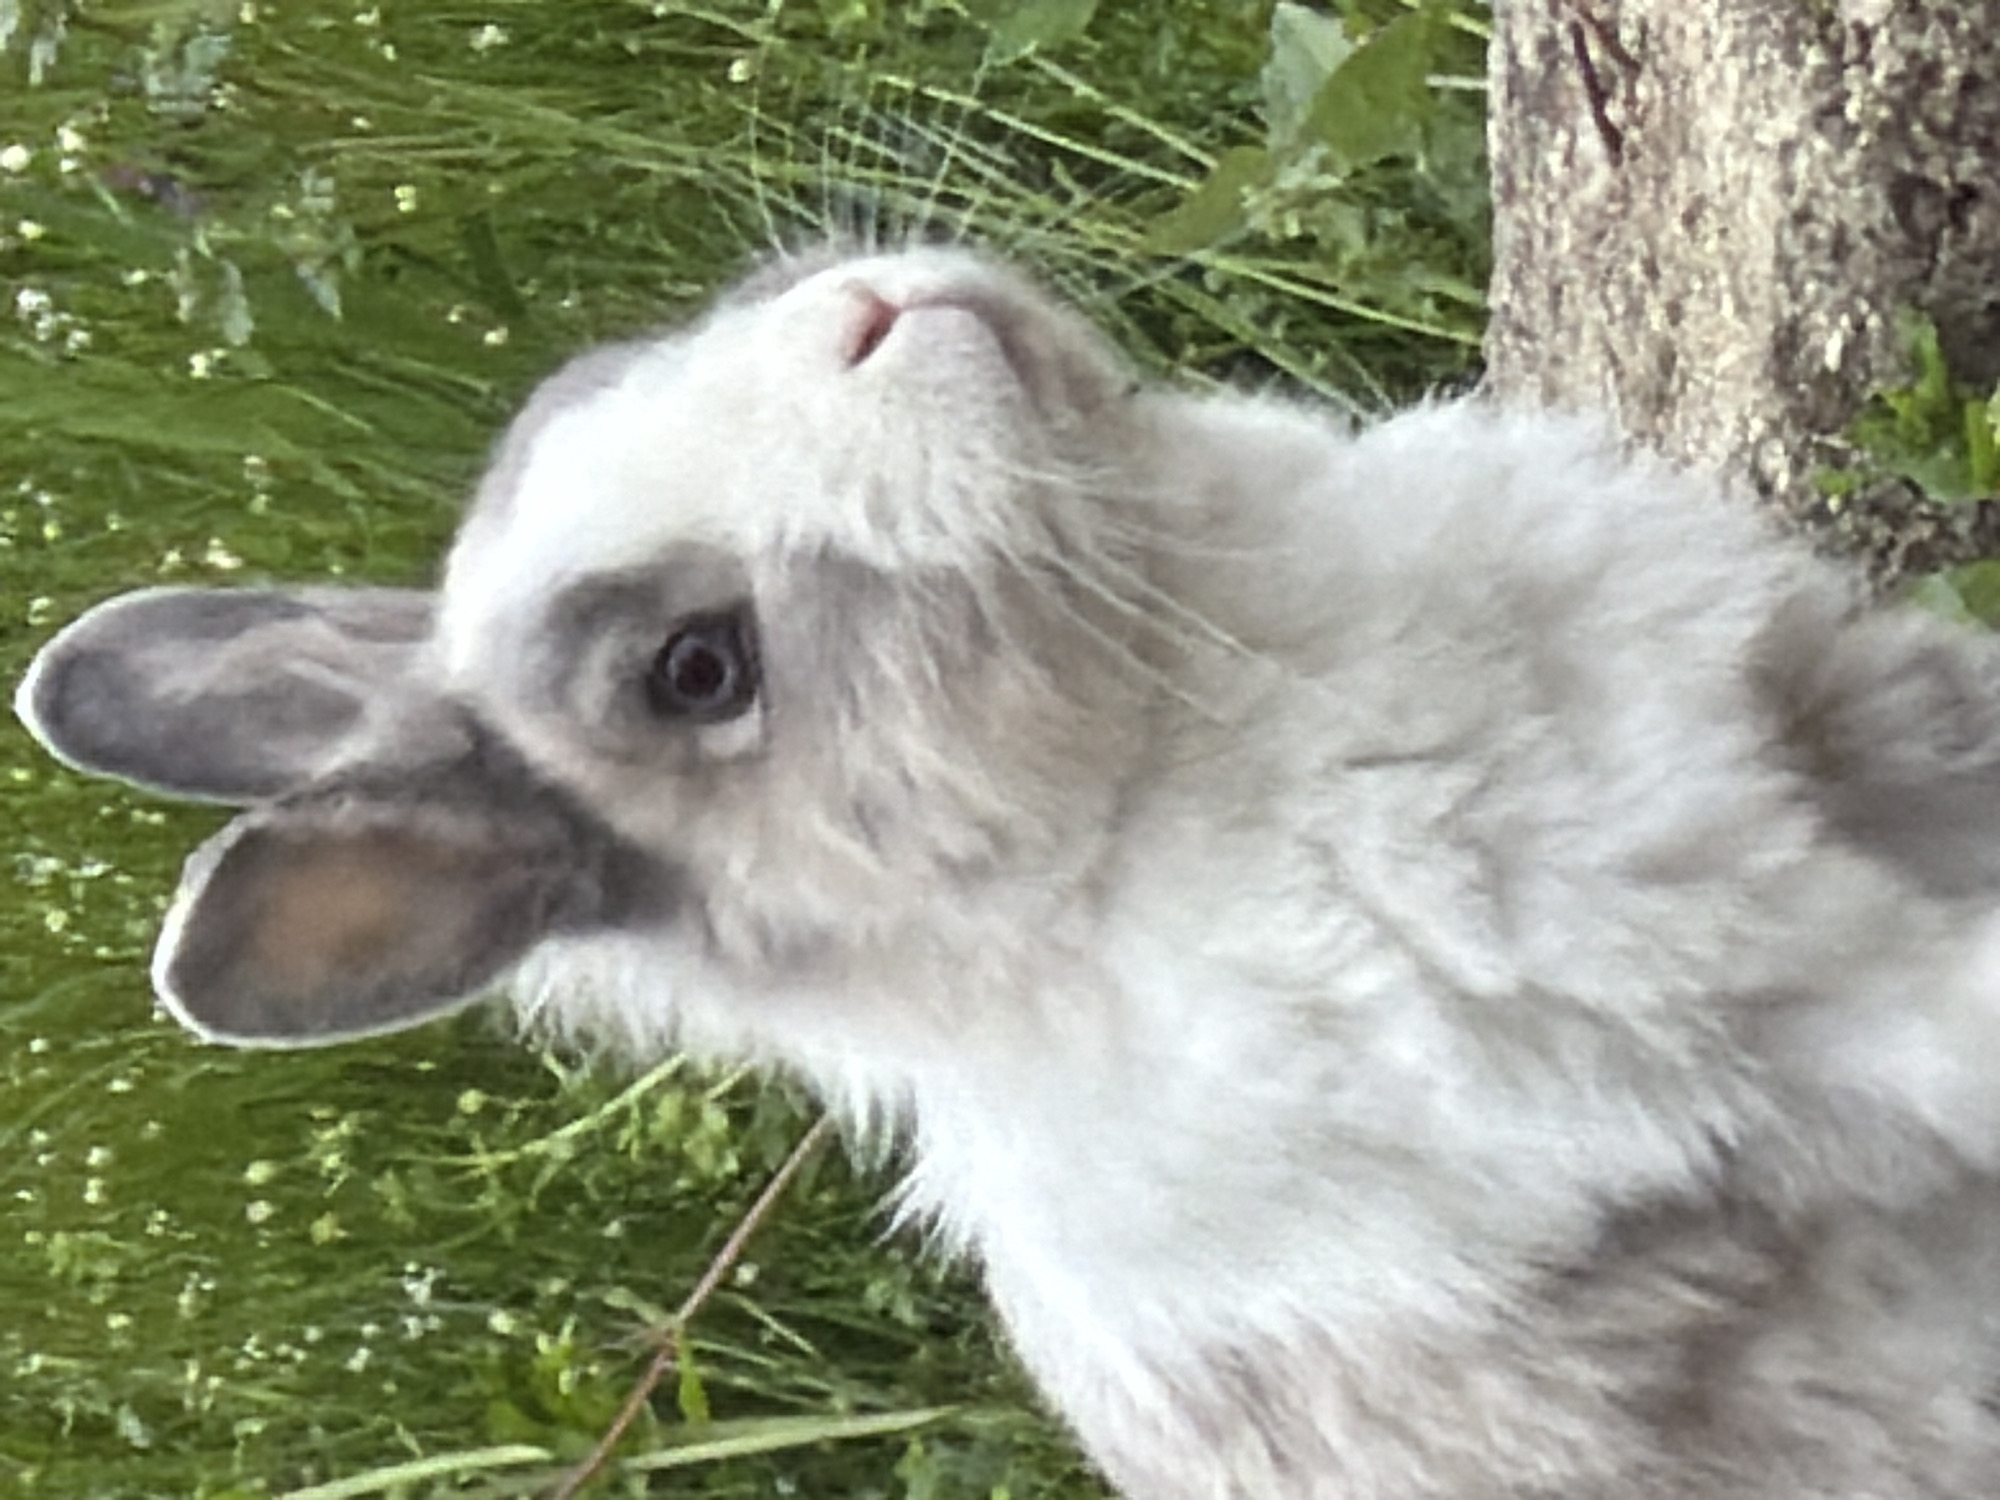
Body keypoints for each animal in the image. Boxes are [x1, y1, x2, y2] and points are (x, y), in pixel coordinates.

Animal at [17, 242, 2000, 1498]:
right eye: (697, 673)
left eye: (584, 386)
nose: (876, 313)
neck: (1178, 697)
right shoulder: (1791, 1003)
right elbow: (1947, 1021)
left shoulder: (1843, 717)